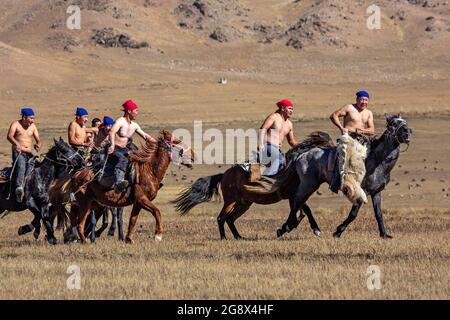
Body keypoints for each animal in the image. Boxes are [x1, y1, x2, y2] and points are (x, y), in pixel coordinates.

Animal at [53, 130, 194, 242]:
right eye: (177, 143)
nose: (193, 156)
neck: (149, 171)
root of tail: (77, 174)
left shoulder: (137, 203)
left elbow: (133, 219)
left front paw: (128, 239)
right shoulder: (142, 199)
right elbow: (157, 212)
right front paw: (158, 235)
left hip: (89, 204)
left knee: (75, 219)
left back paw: (73, 237)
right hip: (85, 203)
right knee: (79, 223)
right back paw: (82, 240)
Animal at [172, 131, 334, 239]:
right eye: (328, 145)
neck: (294, 165)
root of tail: (224, 175)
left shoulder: (295, 195)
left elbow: (303, 212)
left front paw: (305, 228)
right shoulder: (293, 195)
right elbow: (303, 211)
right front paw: (288, 228)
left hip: (244, 203)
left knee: (230, 219)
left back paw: (239, 237)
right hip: (231, 201)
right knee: (221, 218)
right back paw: (224, 238)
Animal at [276, 114, 414, 239]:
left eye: (404, 122)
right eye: (393, 124)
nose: (407, 132)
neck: (377, 161)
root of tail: (303, 154)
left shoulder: (376, 192)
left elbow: (379, 214)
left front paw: (384, 234)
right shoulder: (361, 191)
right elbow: (353, 214)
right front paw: (338, 231)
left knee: (298, 200)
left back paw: (297, 227)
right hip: (309, 185)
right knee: (297, 200)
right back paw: (286, 227)